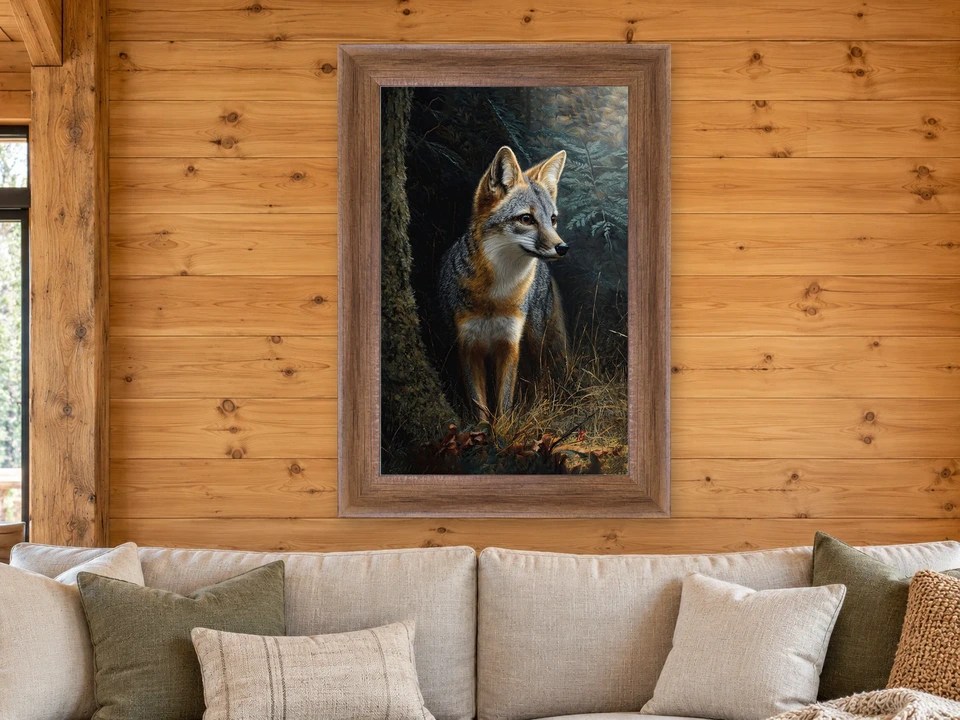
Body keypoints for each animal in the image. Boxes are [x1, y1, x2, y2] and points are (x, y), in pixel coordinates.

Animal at [438, 145, 569, 420]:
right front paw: (483, 428)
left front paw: (504, 427)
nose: (562, 247)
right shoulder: (468, 346)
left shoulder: (510, 343)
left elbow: (505, 400)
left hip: (535, 339)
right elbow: (479, 402)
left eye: (552, 219)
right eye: (526, 219)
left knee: (539, 377)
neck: (496, 295)